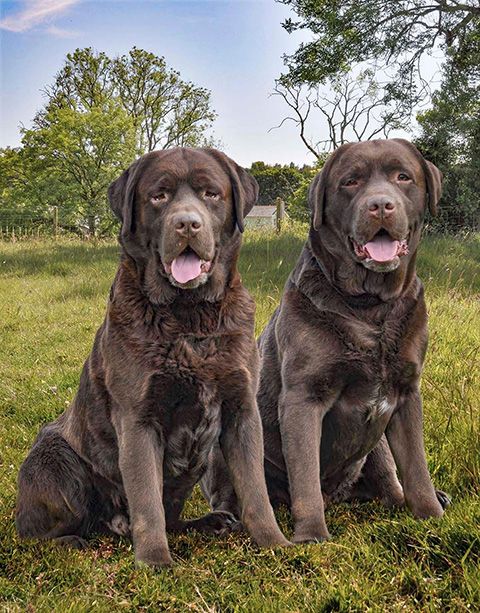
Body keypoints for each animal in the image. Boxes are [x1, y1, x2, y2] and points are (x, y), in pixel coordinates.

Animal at [15, 147, 288, 564]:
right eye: (158, 196)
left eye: (211, 193)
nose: (187, 225)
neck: (190, 318)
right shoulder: (138, 419)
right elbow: (146, 501)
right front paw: (154, 561)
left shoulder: (242, 410)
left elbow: (255, 490)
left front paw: (277, 544)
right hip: (57, 463)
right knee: (33, 535)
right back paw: (72, 541)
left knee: (172, 515)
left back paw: (210, 522)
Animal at [202, 137, 450, 540]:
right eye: (350, 182)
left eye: (403, 177)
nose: (380, 205)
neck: (370, 308)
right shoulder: (303, 398)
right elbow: (305, 478)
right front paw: (312, 536)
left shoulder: (406, 394)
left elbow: (416, 468)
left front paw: (431, 516)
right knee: (232, 488)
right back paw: (228, 519)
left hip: (376, 442)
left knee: (388, 478)